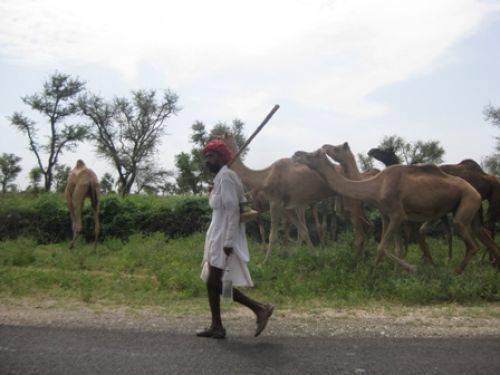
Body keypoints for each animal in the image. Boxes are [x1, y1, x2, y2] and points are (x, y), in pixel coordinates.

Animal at [292, 148, 500, 274]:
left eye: (313, 154)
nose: (296, 154)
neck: (376, 186)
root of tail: (475, 192)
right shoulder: (387, 215)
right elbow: (386, 248)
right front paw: (373, 273)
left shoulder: (398, 214)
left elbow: (382, 247)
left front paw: (412, 268)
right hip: (472, 209)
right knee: (484, 236)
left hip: (467, 203)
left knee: (472, 244)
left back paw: (454, 273)